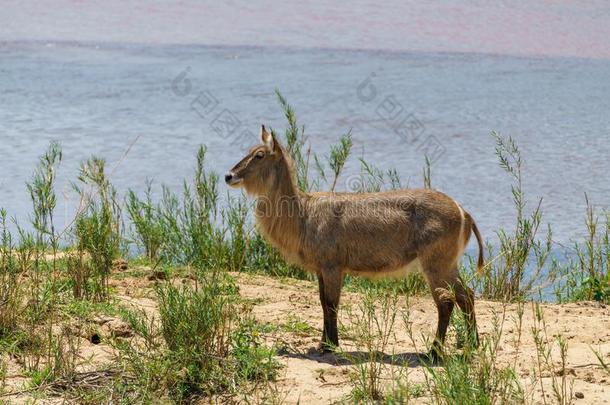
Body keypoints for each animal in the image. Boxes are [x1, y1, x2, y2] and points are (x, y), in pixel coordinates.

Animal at [224, 125, 484, 360]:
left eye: (259, 154)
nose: (229, 176)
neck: (302, 213)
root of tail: (463, 211)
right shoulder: (321, 269)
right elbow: (322, 302)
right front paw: (323, 343)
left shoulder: (332, 266)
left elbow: (331, 303)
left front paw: (330, 346)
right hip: (448, 264)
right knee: (467, 296)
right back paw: (472, 344)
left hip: (435, 264)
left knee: (446, 302)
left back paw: (434, 352)